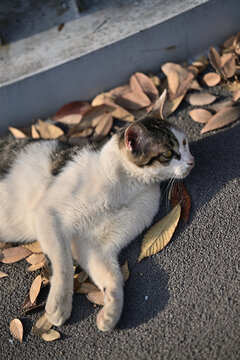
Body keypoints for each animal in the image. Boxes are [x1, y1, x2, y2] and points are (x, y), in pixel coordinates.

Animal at [0, 89, 194, 330]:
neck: (127, 186)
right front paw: (59, 305)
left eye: (185, 143)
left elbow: (113, 277)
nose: (191, 161)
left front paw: (110, 313)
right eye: (167, 154)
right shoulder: (48, 213)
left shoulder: (97, 246)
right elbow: (63, 263)